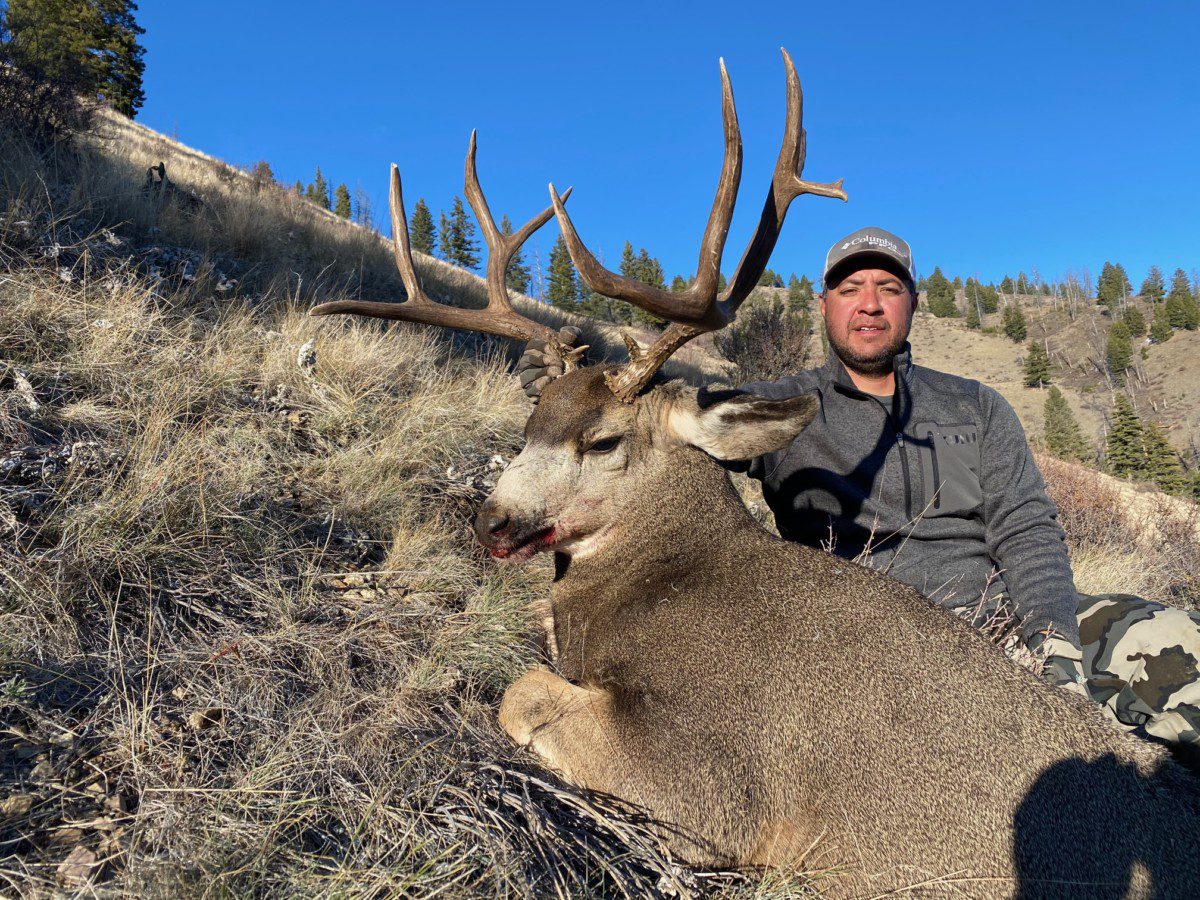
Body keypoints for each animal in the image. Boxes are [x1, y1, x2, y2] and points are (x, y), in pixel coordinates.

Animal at [319, 52, 1200, 897]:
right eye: (530, 423)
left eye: (603, 441)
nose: (492, 521)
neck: (659, 576)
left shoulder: (714, 777)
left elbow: (523, 688)